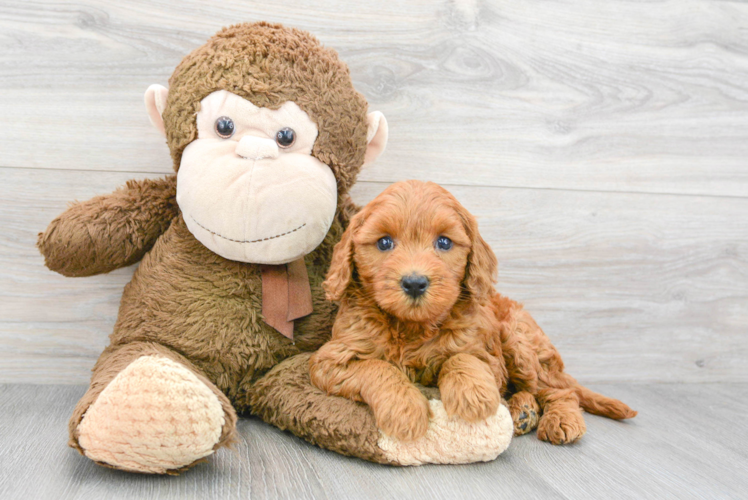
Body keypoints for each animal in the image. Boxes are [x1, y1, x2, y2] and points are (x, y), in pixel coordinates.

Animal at [310, 182, 636, 444]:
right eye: (384, 242)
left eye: (443, 242)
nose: (414, 283)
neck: (413, 326)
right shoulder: (331, 359)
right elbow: (378, 368)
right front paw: (405, 410)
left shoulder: (488, 357)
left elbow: (461, 358)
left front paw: (472, 395)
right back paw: (523, 411)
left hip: (518, 341)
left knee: (559, 391)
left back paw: (560, 419)